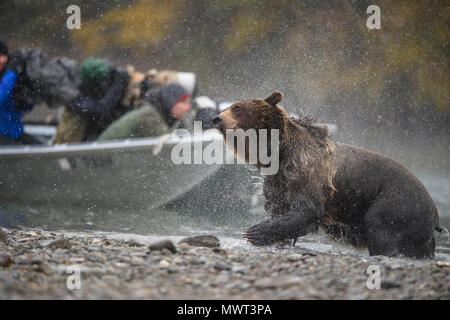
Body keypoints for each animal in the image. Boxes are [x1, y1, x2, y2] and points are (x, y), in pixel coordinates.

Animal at [213, 91, 442, 258]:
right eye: (227, 107)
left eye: (237, 107)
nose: (216, 118)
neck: (280, 152)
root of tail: (434, 212)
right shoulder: (278, 180)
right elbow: (280, 209)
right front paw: (274, 240)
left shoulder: (305, 171)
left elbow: (306, 209)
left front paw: (253, 232)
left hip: (395, 203)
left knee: (382, 232)